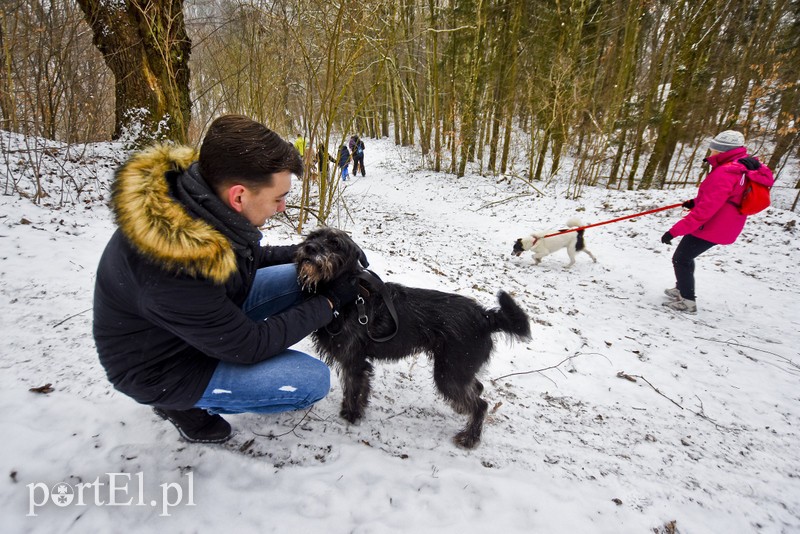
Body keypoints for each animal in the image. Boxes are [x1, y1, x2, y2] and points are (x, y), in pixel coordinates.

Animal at [294, 228, 532, 450]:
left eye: (335, 244)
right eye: (312, 236)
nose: (309, 248)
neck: (351, 294)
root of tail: (485, 317)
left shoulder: (354, 362)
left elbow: (354, 389)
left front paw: (351, 416)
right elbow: (357, 389)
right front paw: (351, 412)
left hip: (450, 373)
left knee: (481, 404)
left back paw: (469, 438)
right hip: (458, 370)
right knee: (478, 388)